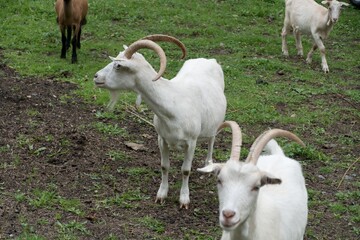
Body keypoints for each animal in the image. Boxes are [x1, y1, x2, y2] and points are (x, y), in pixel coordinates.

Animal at [94, 34, 226, 209]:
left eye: (117, 66)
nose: (96, 77)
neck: (173, 104)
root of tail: (209, 60)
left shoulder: (191, 142)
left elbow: (186, 170)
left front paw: (184, 199)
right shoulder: (161, 139)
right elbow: (164, 166)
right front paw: (161, 195)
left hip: (214, 124)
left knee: (212, 139)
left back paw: (208, 164)